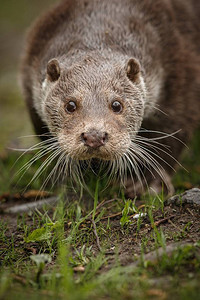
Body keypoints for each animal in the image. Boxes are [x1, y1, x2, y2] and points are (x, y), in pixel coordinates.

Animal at [20, 0, 200, 196]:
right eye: (70, 105)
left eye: (116, 105)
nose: (94, 136)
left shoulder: (182, 76)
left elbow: (168, 139)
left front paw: (146, 182)